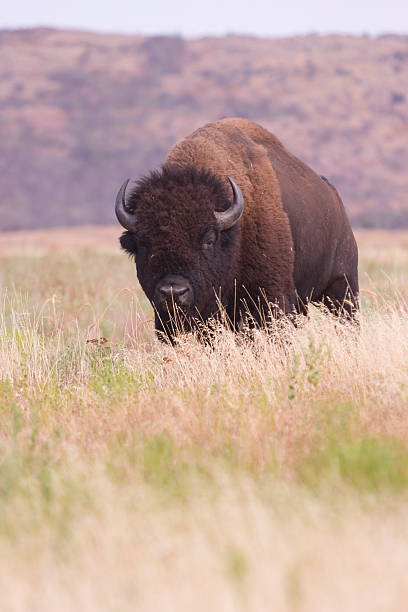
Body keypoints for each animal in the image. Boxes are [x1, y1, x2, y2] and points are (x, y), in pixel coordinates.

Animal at [115, 117, 356, 342]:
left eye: (209, 239)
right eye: (143, 243)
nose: (173, 292)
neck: (234, 234)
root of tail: (335, 198)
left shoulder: (270, 297)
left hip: (342, 287)